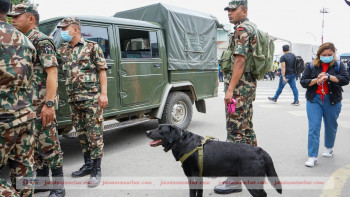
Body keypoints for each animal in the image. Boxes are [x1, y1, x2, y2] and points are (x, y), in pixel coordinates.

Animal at [146, 124, 284, 197]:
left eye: (160, 130)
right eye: (157, 127)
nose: (147, 131)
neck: (182, 141)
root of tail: (259, 150)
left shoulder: (192, 177)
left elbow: (192, 194)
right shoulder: (199, 177)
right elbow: (199, 193)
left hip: (251, 180)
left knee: (262, 194)